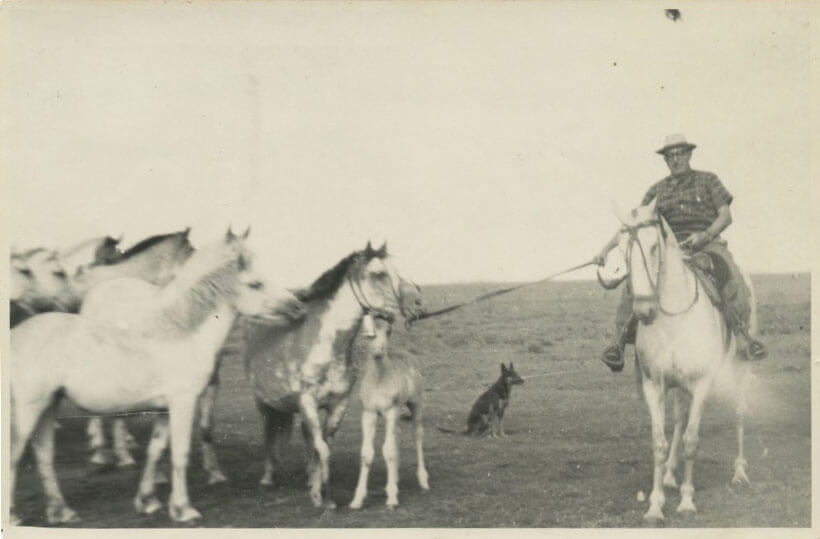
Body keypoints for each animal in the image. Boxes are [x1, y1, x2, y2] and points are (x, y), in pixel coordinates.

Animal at [8, 228, 298, 524]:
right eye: (256, 284)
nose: (297, 307)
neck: (185, 333)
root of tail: (16, 335)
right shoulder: (183, 403)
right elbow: (179, 453)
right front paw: (183, 509)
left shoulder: (164, 410)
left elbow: (156, 450)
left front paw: (147, 500)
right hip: (28, 409)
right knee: (14, 454)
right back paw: (16, 515)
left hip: (48, 406)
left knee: (44, 454)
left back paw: (61, 511)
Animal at [242, 243, 422, 508]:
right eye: (378, 274)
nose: (418, 303)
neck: (328, 346)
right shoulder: (307, 402)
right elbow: (322, 449)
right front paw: (324, 496)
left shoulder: (338, 404)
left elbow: (323, 446)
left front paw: (317, 487)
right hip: (264, 403)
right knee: (270, 434)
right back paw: (268, 478)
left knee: (306, 437)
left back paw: (308, 477)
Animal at [350, 312, 432, 510]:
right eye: (367, 333)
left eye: (388, 331)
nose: (378, 350)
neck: (379, 381)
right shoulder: (368, 413)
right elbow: (367, 453)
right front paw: (358, 499)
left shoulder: (391, 410)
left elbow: (388, 451)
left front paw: (392, 498)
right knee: (397, 438)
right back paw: (395, 479)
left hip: (416, 404)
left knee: (417, 435)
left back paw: (423, 481)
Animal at [616, 200, 756, 520]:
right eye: (623, 249)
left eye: (654, 246)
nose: (643, 311)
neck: (673, 317)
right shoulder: (654, 385)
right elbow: (659, 442)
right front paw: (655, 504)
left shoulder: (702, 383)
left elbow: (692, 441)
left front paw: (687, 501)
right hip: (679, 385)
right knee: (680, 419)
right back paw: (669, 474)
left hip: (741, 367)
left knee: (740, 412)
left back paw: (739, 472)